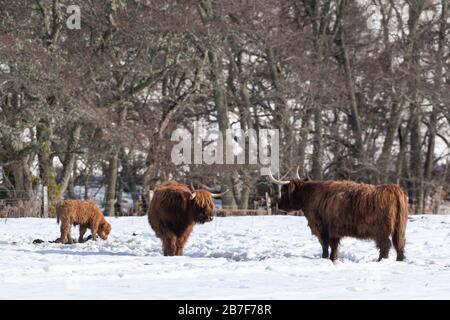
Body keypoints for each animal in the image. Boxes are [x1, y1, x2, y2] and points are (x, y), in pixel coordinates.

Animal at [268, 169, 410, 262]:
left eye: (284, 191)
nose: (278, 204)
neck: (310, 196)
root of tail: (393, 189)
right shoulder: (334, 231)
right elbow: (334, 246)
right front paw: (333, 259)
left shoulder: (322, 228)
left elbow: (326, 246)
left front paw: (326, 259)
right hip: (400, 227)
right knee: (400, 243)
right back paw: (400, 260)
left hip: (381, 230)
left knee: (386, 245)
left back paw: (380, 261)